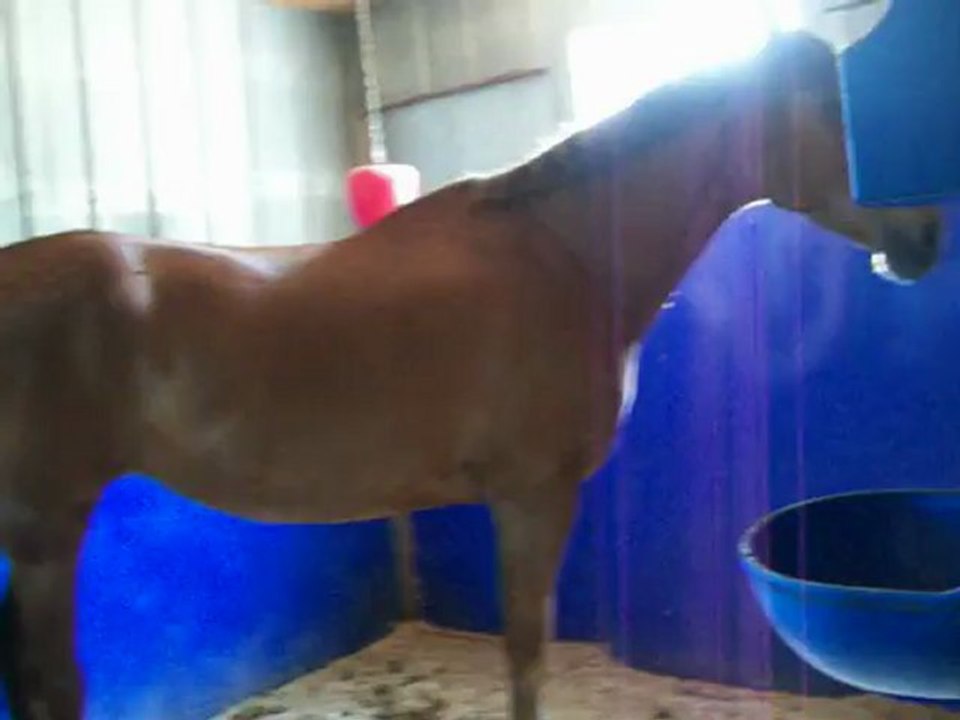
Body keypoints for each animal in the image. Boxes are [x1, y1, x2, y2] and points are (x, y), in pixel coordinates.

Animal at [0, 30, 943, 720]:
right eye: (832, 109)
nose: (925, 238)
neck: (563, 256)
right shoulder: (532, 494)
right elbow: (526, 653)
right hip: (46, 530)